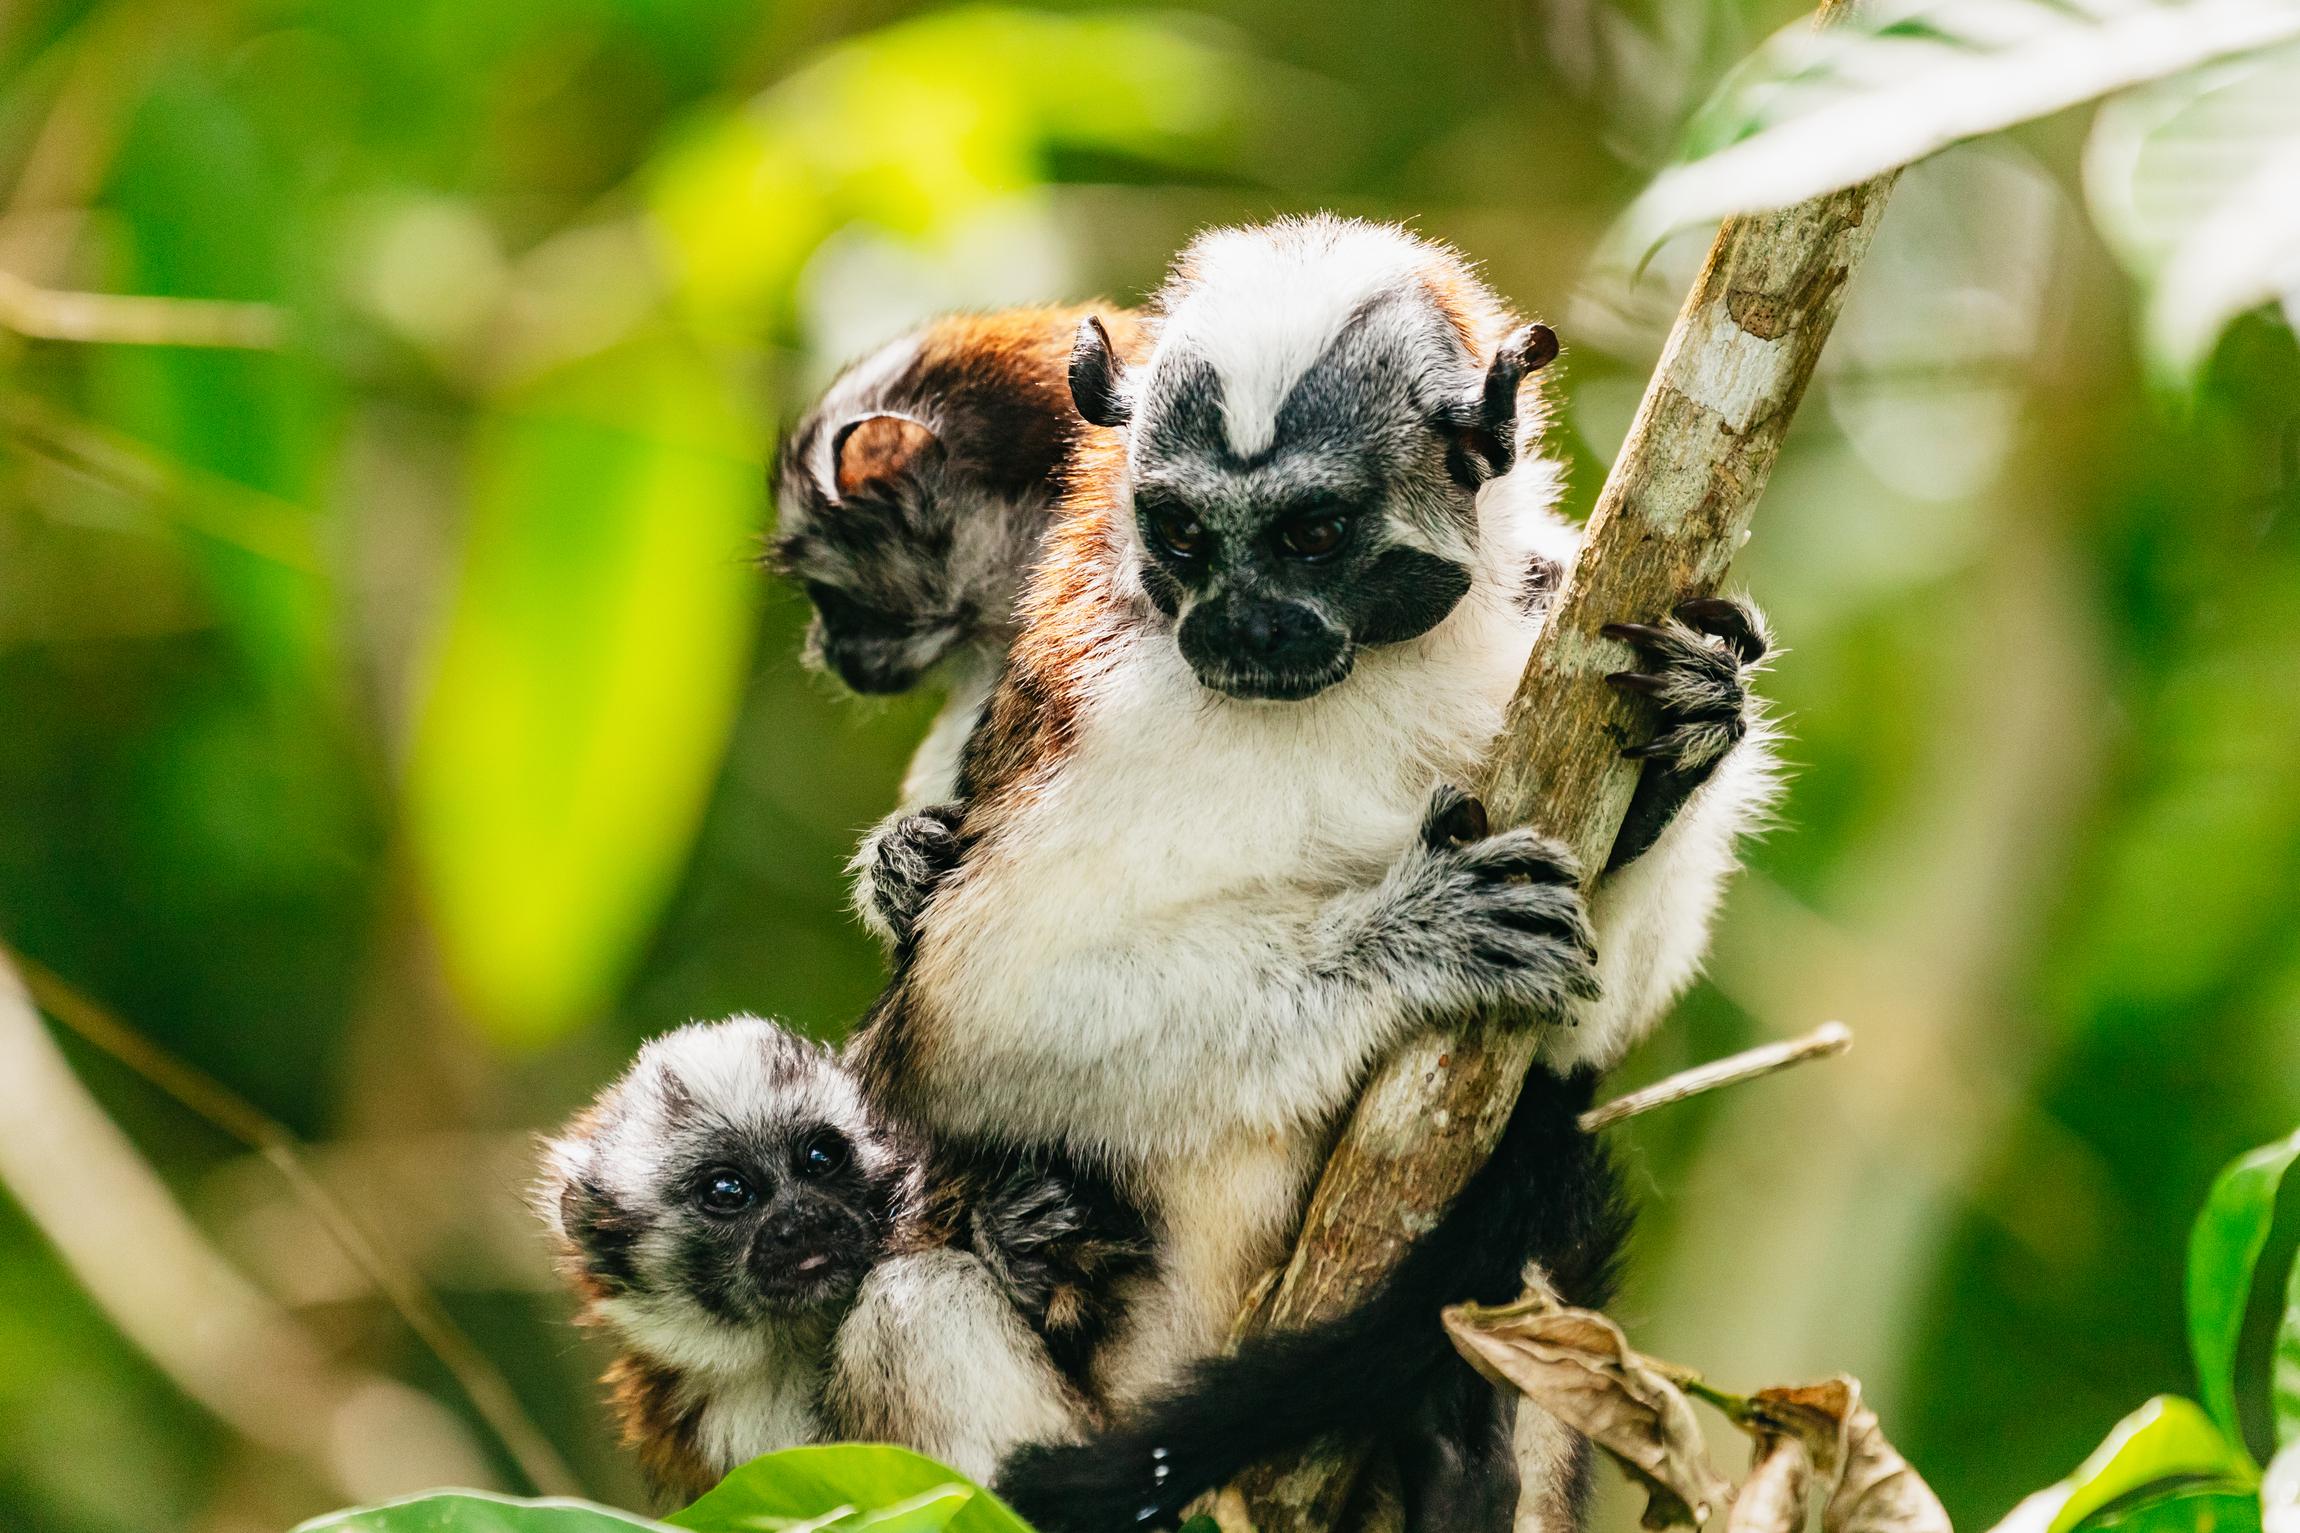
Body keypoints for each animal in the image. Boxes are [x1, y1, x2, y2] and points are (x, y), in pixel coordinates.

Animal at [836, 215, 1779, 1528]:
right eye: (1185, 536)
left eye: (1311, 535)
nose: (1239, 628)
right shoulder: (1115, 705)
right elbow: (977, 1019)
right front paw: (1411, 941)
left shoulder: (1540, 621)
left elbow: (1583, 1032)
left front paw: (1693, 732)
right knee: (910, 1306)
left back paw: (1461, 1465)